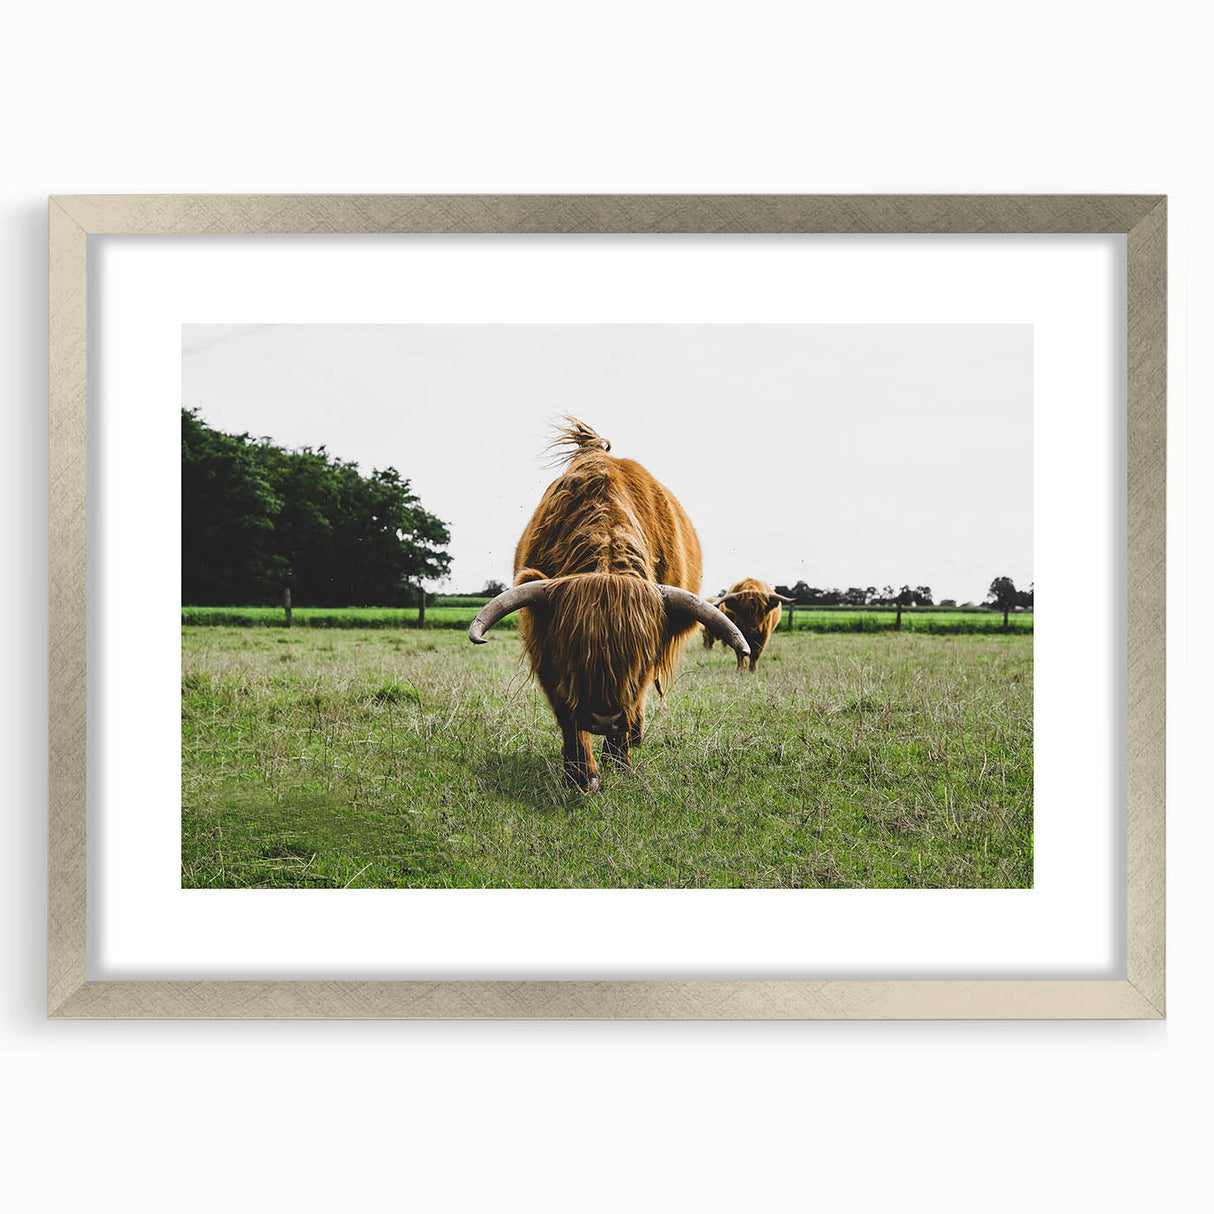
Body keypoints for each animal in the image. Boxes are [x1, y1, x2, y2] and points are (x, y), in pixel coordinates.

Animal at [468, 418, 750, 791]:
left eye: (641, 658)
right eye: (572, 652)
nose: (604, 718)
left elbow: (632, 703)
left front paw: (619, 761)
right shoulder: (546, 653)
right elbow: (568, 715)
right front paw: (580, 774)